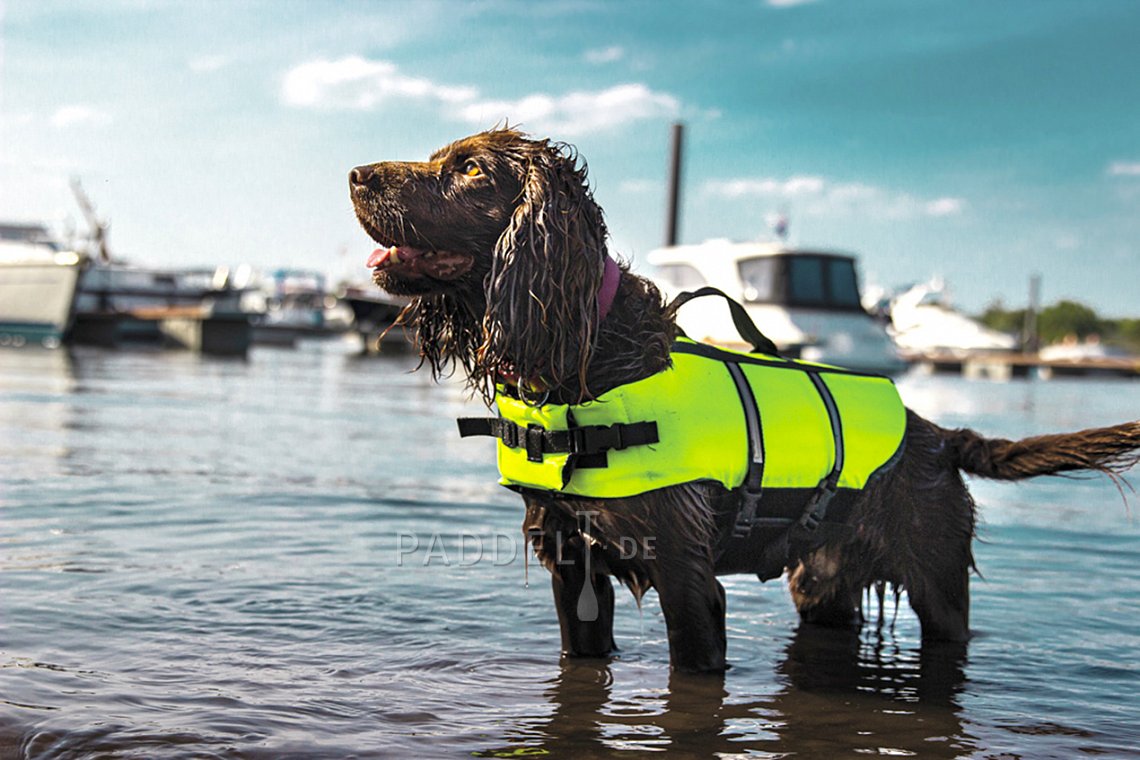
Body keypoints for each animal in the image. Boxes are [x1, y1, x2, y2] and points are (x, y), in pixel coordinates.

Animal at [348, 129, 1140, 669]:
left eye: (470, 169)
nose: (354, 173)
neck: (586, 360)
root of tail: (944, 435)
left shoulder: (688, 577)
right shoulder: (572, 566)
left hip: (938, 584)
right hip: (824, 588)